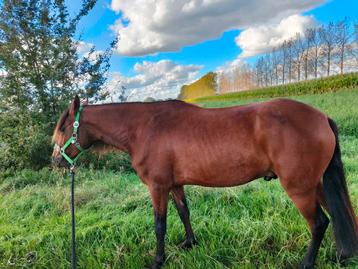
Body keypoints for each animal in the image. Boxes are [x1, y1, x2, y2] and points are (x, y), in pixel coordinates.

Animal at [51, 95, 358, 266]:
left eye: (63, 126)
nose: (55, 161)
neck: (144, 129)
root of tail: (321, 117)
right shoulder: (174, 185)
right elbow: (184, 212)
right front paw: (190, 243)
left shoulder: (158, 187)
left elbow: (159, 225)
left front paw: (158, 260)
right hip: (317, 184)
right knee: (335, 216)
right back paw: (341, 254)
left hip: (300, 188)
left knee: (319, 223)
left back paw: (306, 263)